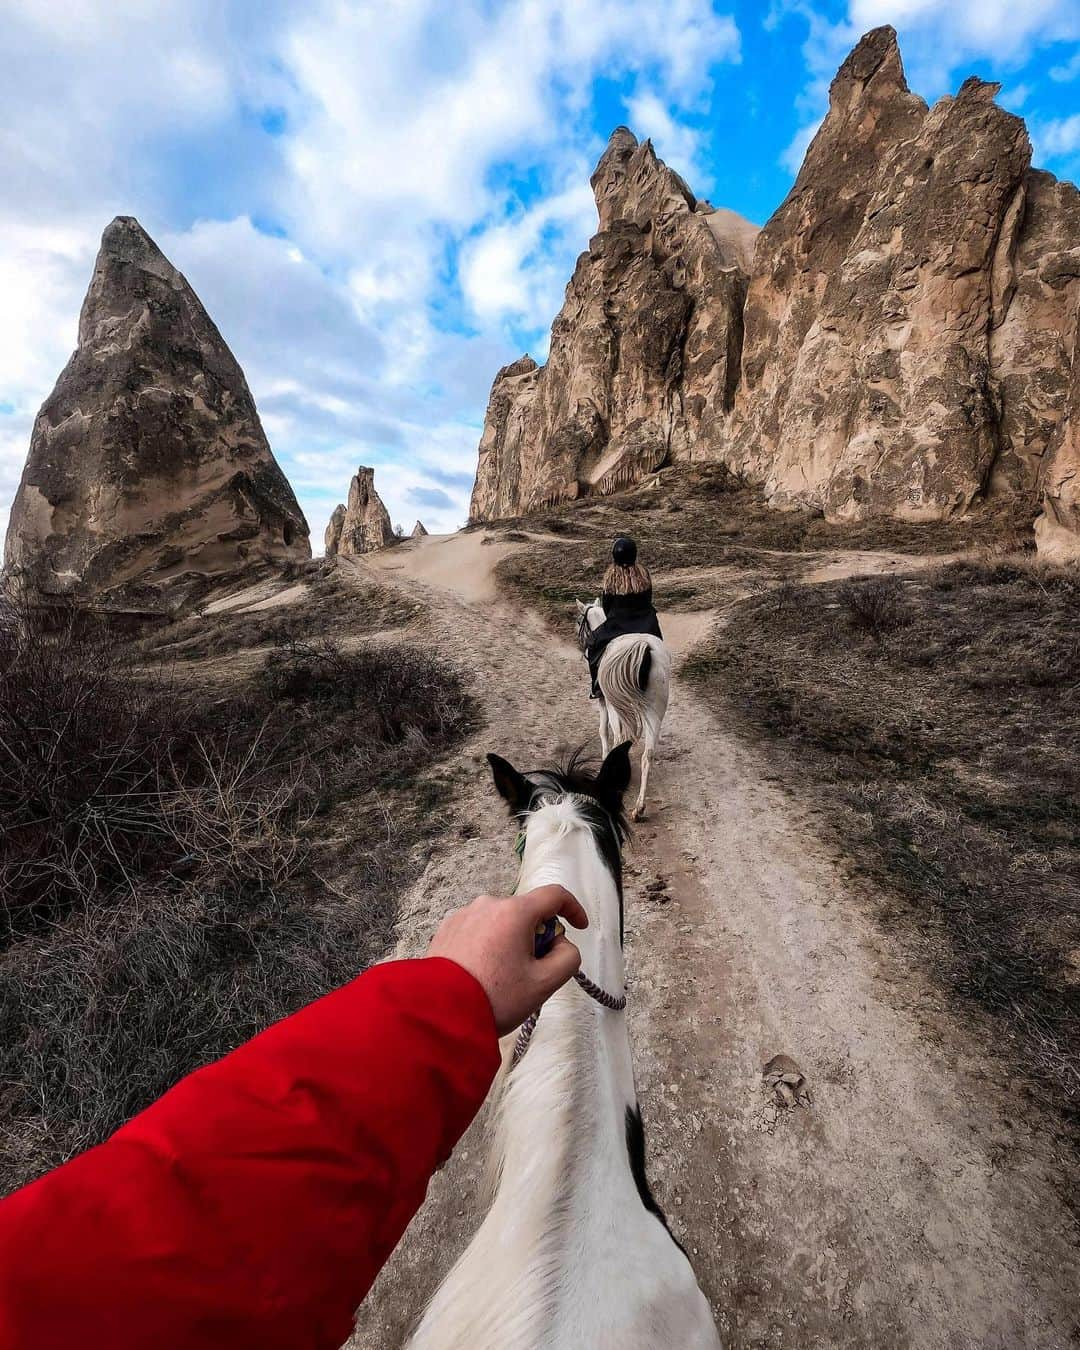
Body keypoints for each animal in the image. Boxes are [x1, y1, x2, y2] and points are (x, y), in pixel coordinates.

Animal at [577, 602, 669, 820]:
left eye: (578, 621)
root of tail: (644, 648)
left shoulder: (603, 700)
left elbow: (603, 731)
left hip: (616, 704)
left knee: (619, 737)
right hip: (655, 710)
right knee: (648, 755)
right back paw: (639, 808)